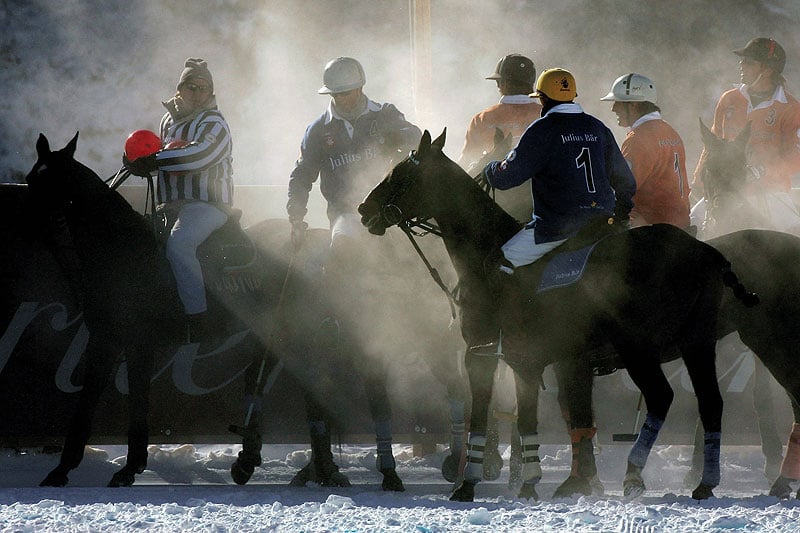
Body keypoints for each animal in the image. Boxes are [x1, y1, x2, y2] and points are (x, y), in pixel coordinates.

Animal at [24, 132, 406, 486]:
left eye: (51, 180)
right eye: (31, 178)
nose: (36, 228)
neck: (123, 250)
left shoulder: (138, 343)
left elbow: (137, 404)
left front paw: (129, 469)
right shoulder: (104, 340)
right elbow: (85, 406)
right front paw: (60, 470)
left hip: (294, 331)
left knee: (309, 386)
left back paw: (324, 469)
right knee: (267, 378)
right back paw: (254, 460)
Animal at [358, 128, 756, 498]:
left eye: (400, 174)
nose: (364, 209)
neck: (485, 251)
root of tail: (707, 252)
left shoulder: (483, 353)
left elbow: (486, 415)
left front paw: (470, 483)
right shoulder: (538, 361)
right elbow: (543, 418)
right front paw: (541, 483)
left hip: (638, 348)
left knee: (662, 397)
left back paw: (634, 474)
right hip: (697, 344)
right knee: (711, 403)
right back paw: (704, 482)